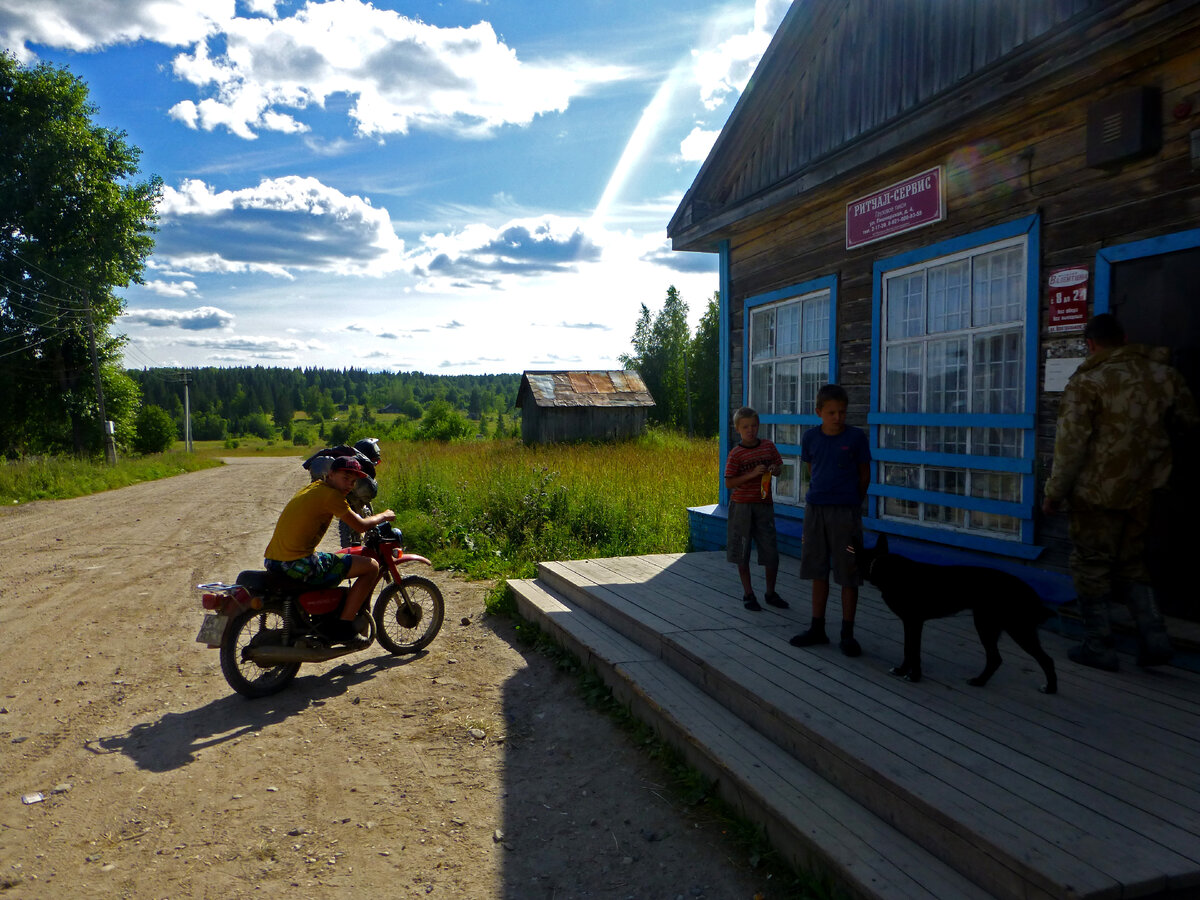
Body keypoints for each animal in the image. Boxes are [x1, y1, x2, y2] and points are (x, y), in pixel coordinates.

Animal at [854, 535, 1060, 696]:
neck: (881, 565)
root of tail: (1027, 590)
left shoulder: (915, 621)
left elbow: (914, 651)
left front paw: (914, 676)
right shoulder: (908, 622)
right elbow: (907, 649)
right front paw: (902, 670)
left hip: (1009, 628)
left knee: (1044, 659)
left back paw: (1049, 688)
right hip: (992, 625)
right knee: (996, 659)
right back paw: (980, 681)